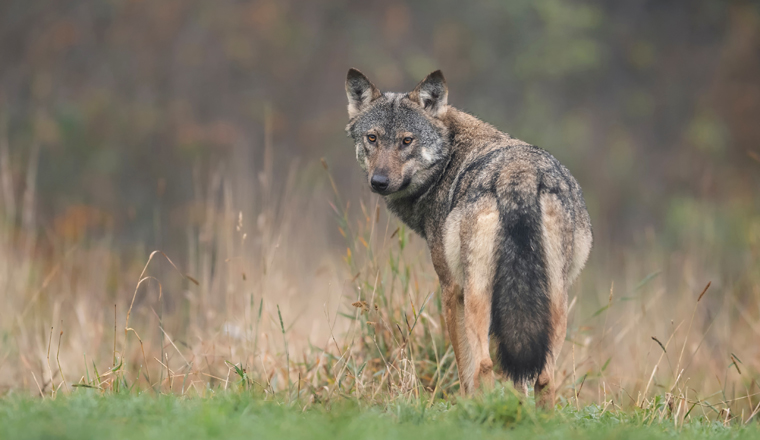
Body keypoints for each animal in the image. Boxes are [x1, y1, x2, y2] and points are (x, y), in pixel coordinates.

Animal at [344, 69, 592, 410]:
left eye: (407, 140)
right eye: (372, 138)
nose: (379, 182)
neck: (448, 160)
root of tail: (518, 174)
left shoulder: (451, 290)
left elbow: (465, 368)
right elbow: (519, 380)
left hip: (478, 293)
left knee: (485, 364)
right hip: (554, 298)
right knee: (543, 376)